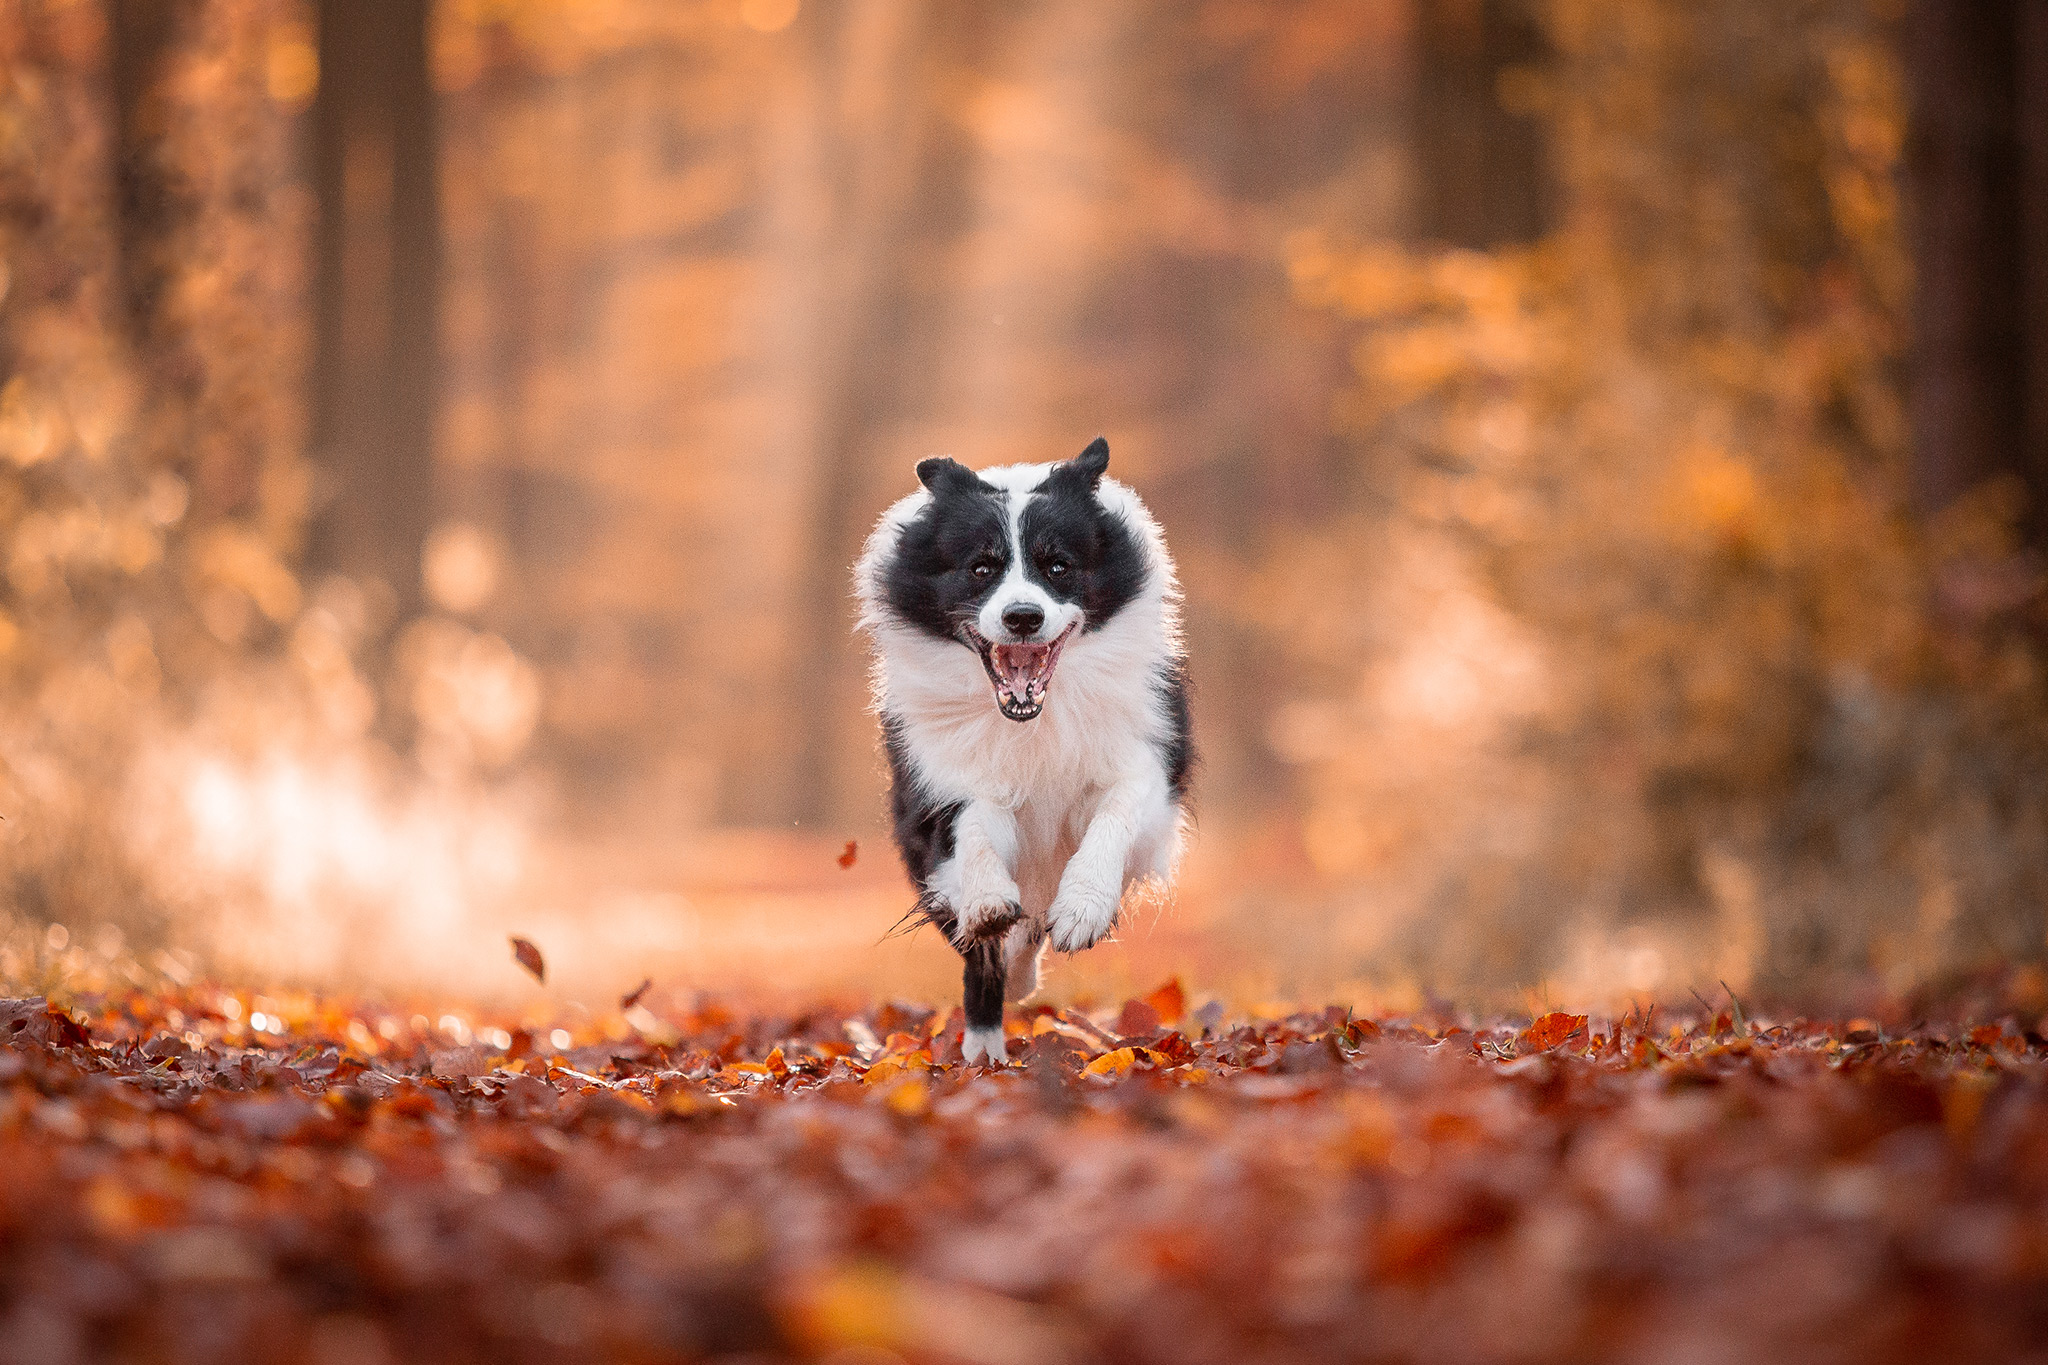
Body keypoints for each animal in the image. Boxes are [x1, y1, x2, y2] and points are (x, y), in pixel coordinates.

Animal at [856, 437, 1196, 1064]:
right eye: (981, 568)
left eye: (1057, 565)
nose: (1022, 617)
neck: (1031, 719)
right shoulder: (940, 783)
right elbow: (975, 832)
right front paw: (988, 900)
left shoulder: (1147, 759)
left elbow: (1116, 812)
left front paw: (1083, 909)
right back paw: (987, 1045)